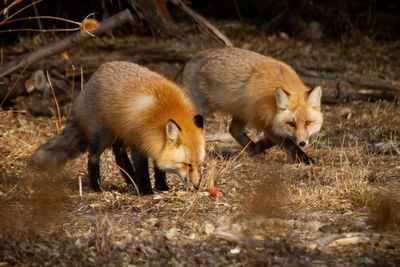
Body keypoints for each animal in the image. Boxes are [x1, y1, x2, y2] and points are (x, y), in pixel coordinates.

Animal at [30, 61, 205, 194]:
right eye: (186, 164)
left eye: (198, 165)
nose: (197, 186)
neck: (162, 112)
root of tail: (93, 78)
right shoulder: (139, 142)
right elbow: (143, 169)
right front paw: (146, 190)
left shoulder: (154, 143)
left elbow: (158, 168)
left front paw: (162, 186)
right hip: (103, 136)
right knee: (92, 158)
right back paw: (96, 186)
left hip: (119, 134)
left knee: (119, 157)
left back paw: (131, 180)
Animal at [183, 47, 324, 163]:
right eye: (291, 124)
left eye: (308, 123)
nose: (302, 143)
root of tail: (193, 57)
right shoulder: (264, 121)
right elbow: (288, 143)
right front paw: (305, 159)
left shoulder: (266, 121)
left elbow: (271, 141)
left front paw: (256, 148)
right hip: (201, 113)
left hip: (241, 111)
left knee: (233, 130)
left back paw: (251, 148)